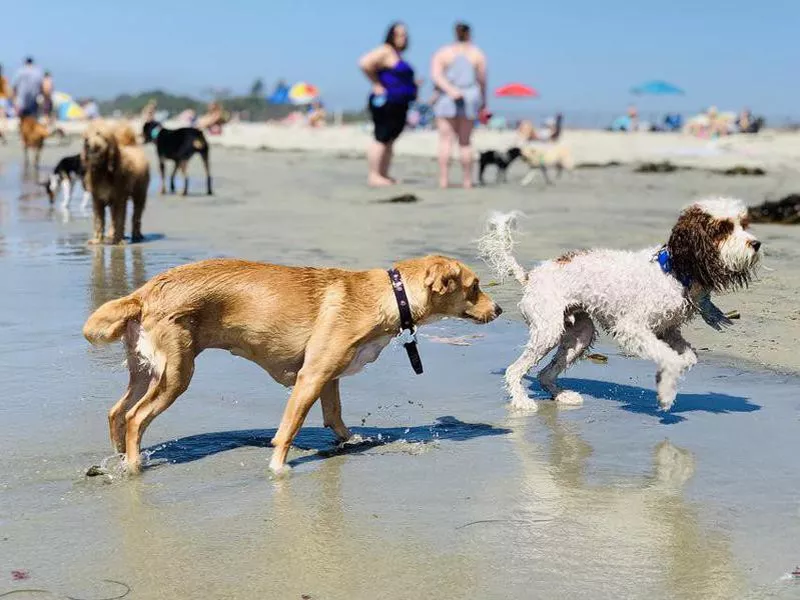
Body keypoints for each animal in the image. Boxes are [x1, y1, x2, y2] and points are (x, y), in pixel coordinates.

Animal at [84, 255, 504, 476]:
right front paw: (278, 468)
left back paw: (120, 457)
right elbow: (288, 428)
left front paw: (352, 442)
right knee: (136, 417)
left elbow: (335, 418)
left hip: (146, 372)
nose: (500, 309)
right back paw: (134, 466)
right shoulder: (310, 377)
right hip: (175, 374)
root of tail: (144, 292)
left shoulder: (329, 377)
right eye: (475, 286)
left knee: (116, 412)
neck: (388, 295)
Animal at [478, 197, 760, 412]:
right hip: (547, 332)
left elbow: (688, 357)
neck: (673, 270)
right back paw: (522, 401)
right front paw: (666, 392)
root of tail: (531, 276)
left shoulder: (667, 331)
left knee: (545, 373)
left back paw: (562, 396)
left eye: (743, 224)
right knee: (514, 370)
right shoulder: (631, 328)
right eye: (723, 228)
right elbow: (671, 359)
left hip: (580, 335)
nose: (756, 244)